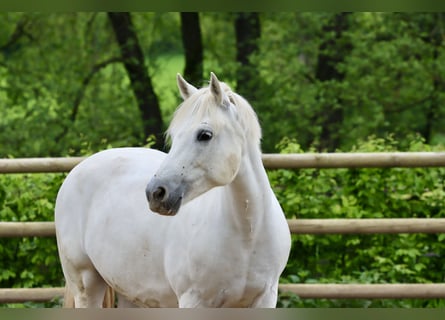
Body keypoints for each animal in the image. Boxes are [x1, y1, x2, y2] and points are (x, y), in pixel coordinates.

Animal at [54, 72, 292, 308]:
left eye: (205, 134)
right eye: (175, 135)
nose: (156, 193)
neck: (247, 236)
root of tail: (76, 170)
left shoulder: (266, 298)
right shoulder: (193, 300)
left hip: (130, 292)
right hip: (87, 285)